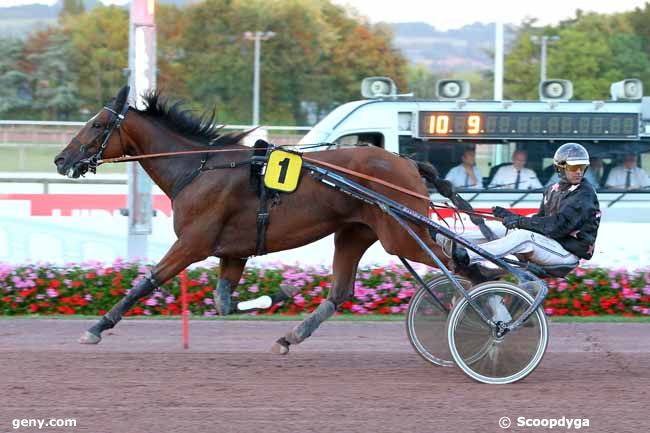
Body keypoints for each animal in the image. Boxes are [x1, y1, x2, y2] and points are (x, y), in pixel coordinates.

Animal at [53, 85, 470, 354]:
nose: (60, 159)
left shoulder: (192, 243)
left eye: (96, 124)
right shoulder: (232, 252)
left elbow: (146, 282)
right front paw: (281, 293)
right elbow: (223, 302)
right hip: (356, 233)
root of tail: (409, 163)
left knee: (462, 265)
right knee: (340, 292)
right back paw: (290, 337)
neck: (198, 168)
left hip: (401, 235)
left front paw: (97, 327)